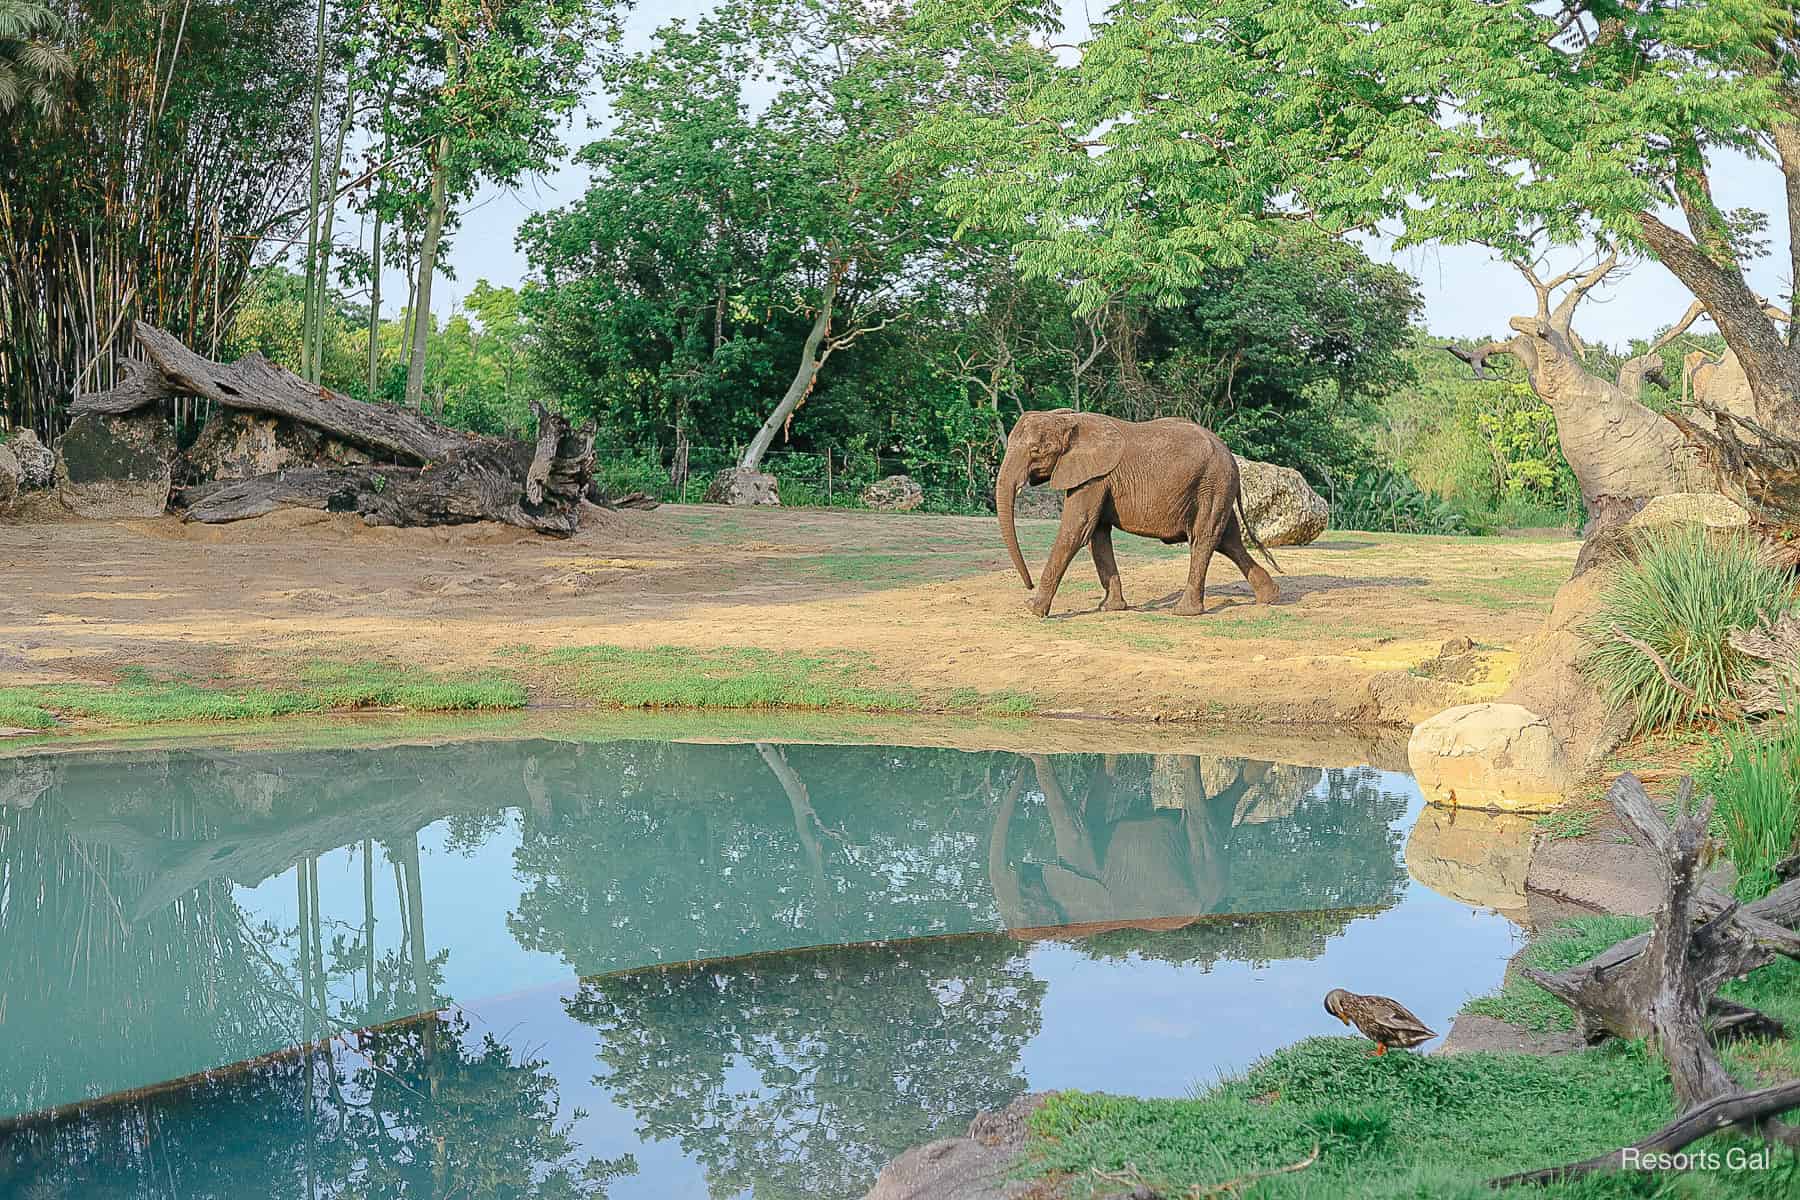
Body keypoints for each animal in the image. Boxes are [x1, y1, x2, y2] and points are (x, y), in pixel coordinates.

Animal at [1000, 410, 1281, 618]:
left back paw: (1184, 612)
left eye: (1036, 450)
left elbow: (1076, 531)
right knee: (1229, 540)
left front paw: (1033, 610)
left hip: (1213, 484)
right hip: (1217, 487)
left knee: (1205, 539)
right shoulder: (1098, 479)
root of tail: (1231, 456)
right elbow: (1097, 536)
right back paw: (1270, 597)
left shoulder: (1094, 478)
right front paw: (1110, 608)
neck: (1070, 419)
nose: (1028, 585)